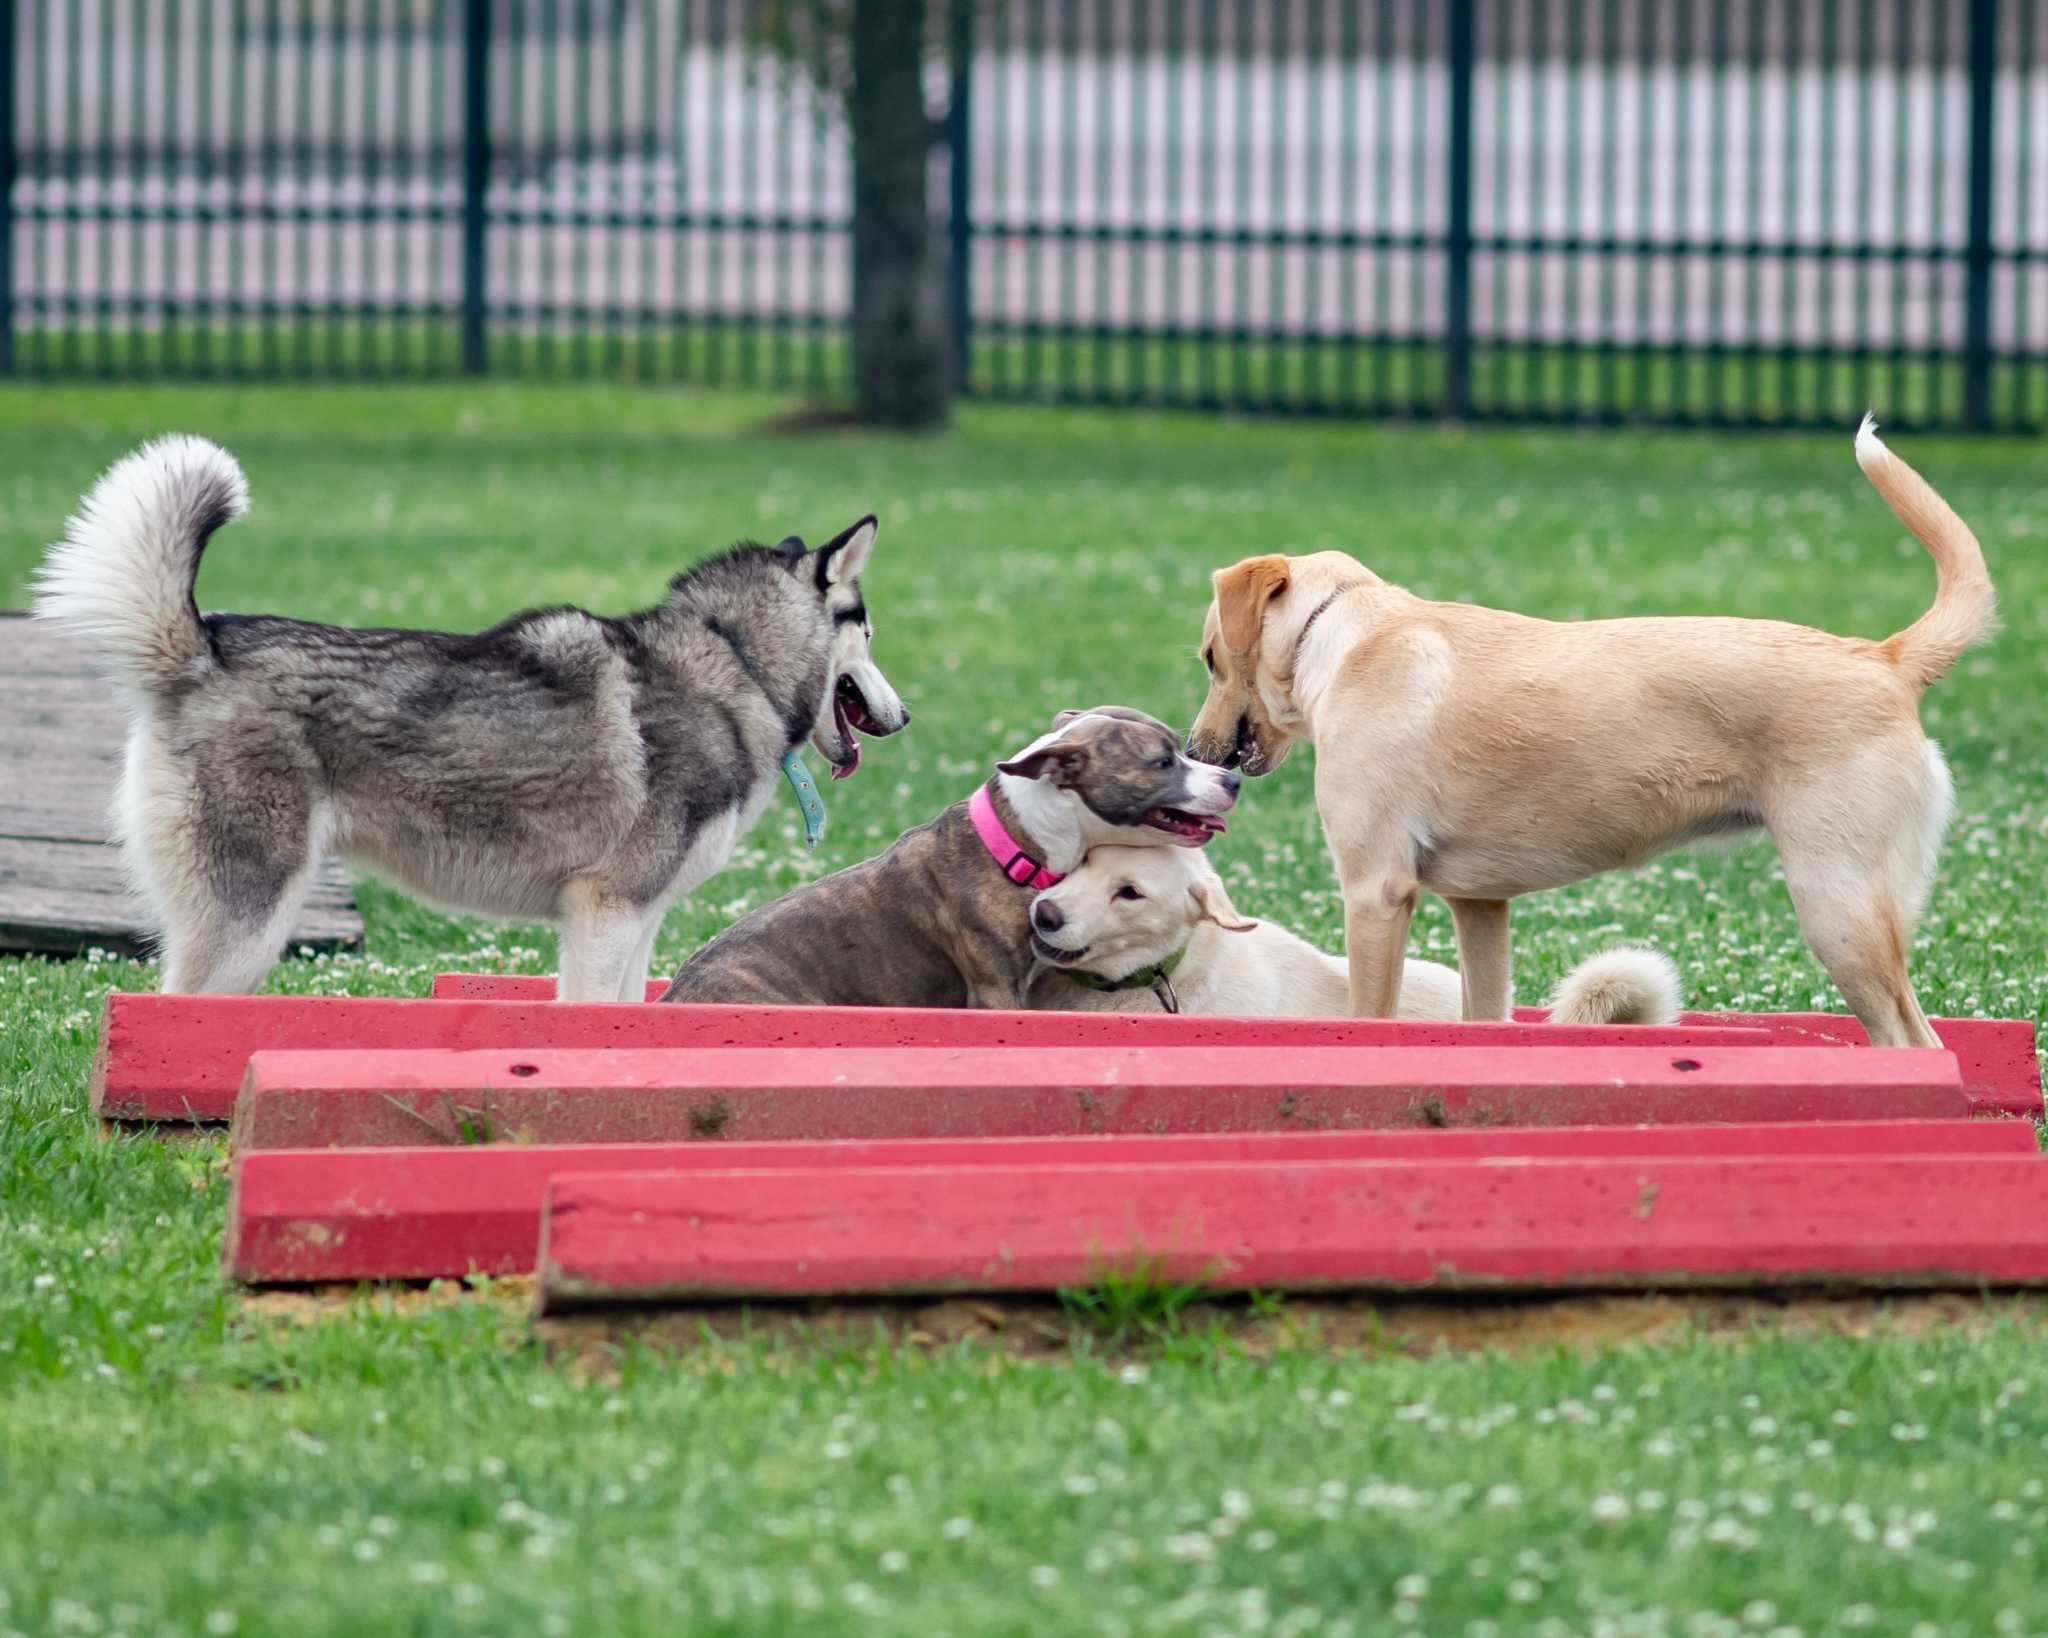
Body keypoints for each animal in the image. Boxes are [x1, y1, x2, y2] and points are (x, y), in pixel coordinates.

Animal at [1179, 415, 1990, 1044]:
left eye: (1211, 658)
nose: (1192, 750)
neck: (1344, 636)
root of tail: (1883, 658)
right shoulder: (1481, 908)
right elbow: (1484, 1017)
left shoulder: (1376, 893)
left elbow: (1369, 1014)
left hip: (1839, 909)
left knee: (1914, 1042)